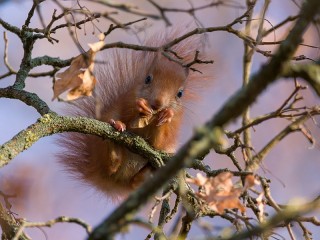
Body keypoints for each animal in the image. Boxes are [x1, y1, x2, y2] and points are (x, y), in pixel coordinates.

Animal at [58, 29, 209, 199]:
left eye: (180, 93)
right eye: (147, 79)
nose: (158, 103)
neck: (152, 116)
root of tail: (114, 182)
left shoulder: (171, 130)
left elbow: (159, 142)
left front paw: (167, 114)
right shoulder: (126, 100)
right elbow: (129, 112)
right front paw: (141, 106)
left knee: (137, 181)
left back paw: (147, 170)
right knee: (111, 165)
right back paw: (115, 140)